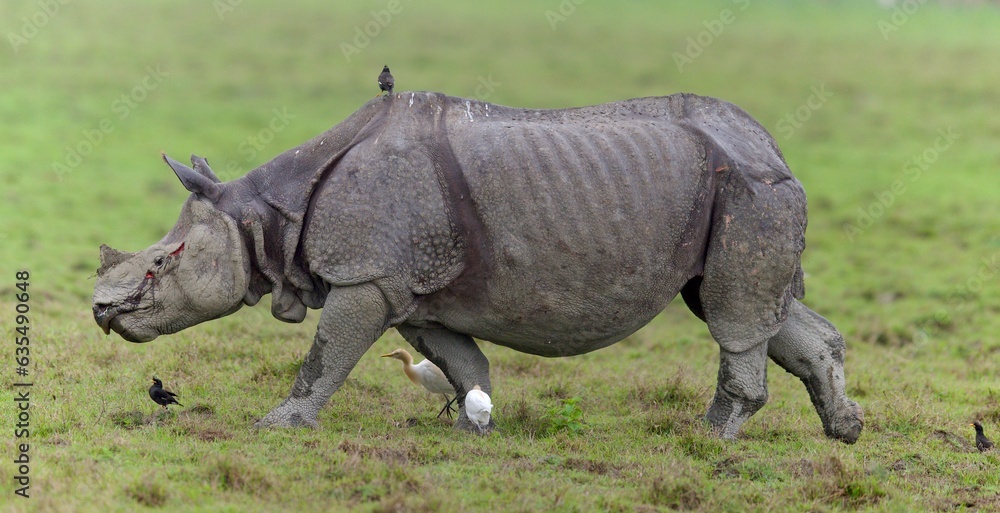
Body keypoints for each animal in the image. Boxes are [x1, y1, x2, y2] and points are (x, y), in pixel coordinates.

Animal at [93, 91, 863, 443]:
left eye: (163, 261)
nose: (100, 310)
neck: (262, 215)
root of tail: (771, 142)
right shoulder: (410, 289)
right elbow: (464, 361)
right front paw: (472, 426)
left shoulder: (367, 276)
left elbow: (326, 354)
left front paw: (279, 424)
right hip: (742, 186)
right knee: (757, 309)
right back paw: (845, 431)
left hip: (749, 187)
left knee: (734, 315)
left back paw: (707, 438)